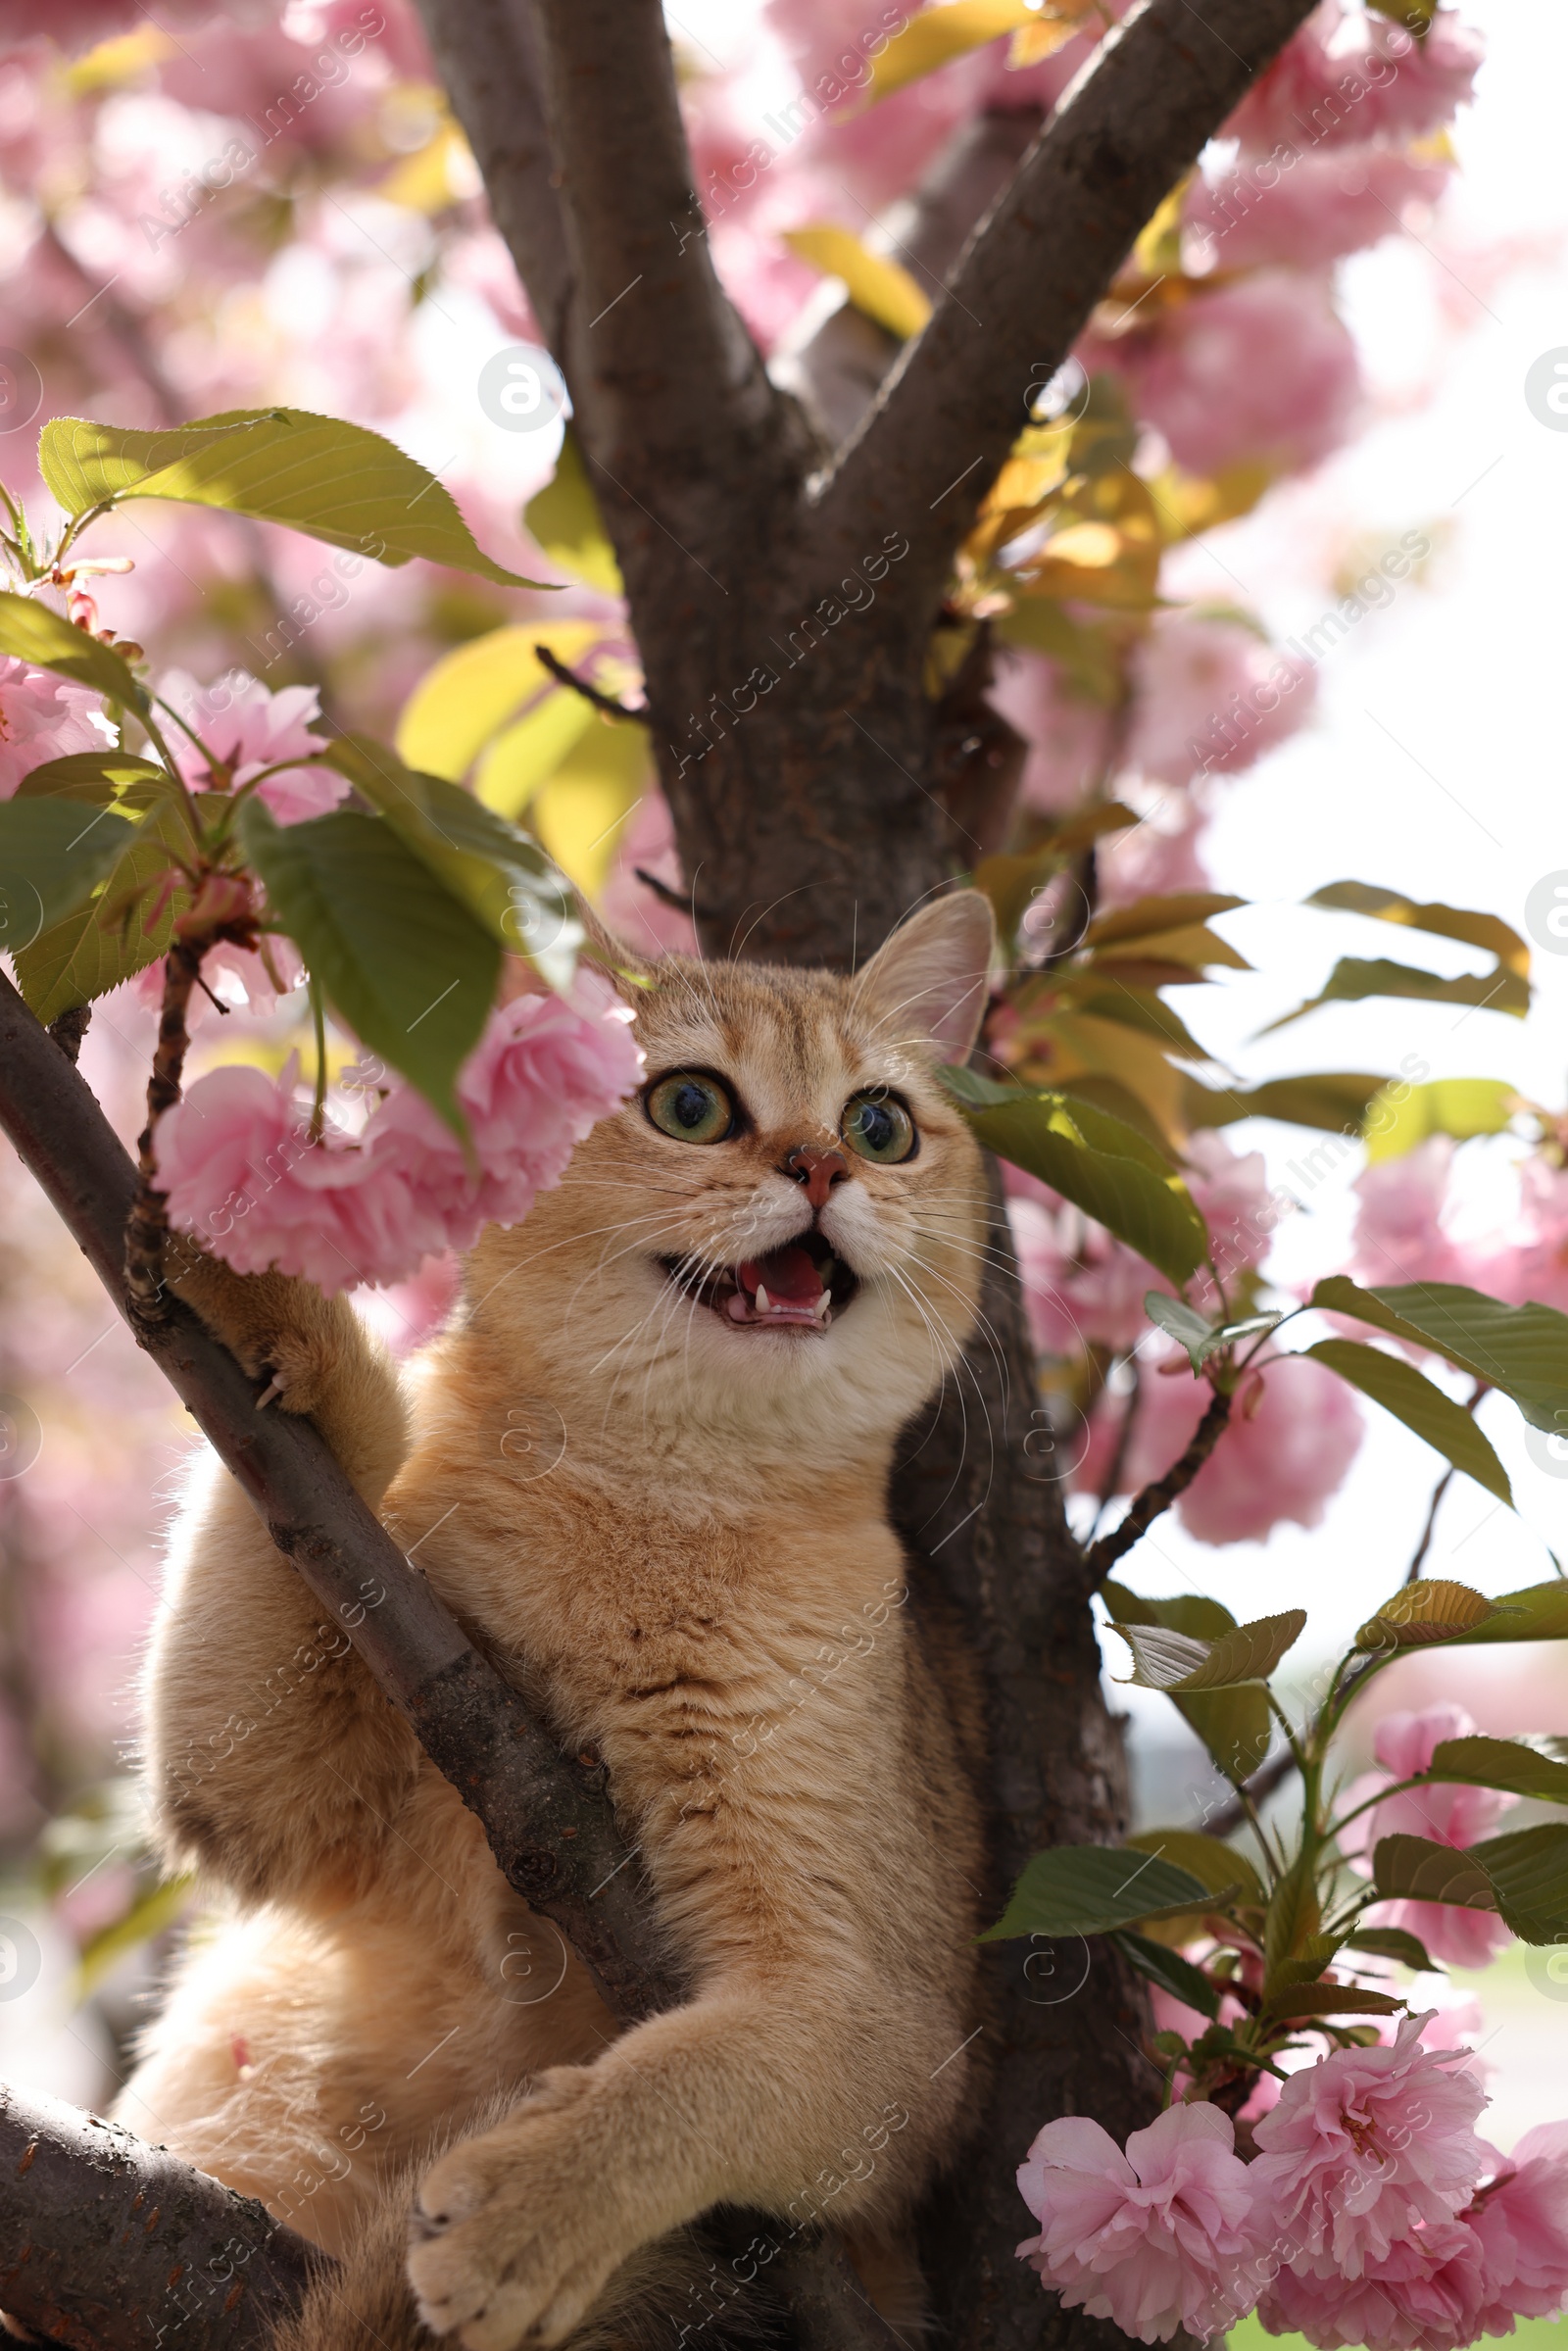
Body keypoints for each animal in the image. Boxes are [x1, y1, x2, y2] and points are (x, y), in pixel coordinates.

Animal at [113, 884, 992, 2351]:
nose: (823, 1167)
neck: (653, 1505)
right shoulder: (273, 1789)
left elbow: (701, 2072)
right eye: (691, 1103)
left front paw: (530, 2210)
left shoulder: (892, 2023)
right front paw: (272, 1293)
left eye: (882, 1124)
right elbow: (337, 1464)